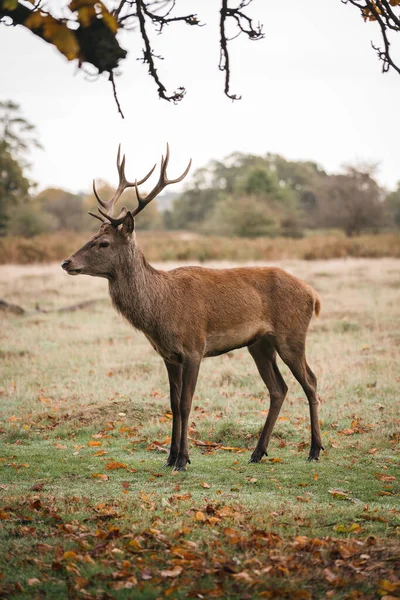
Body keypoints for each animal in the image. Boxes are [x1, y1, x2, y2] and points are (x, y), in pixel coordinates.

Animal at [61, 144, 324, 468]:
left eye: (104, 243)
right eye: (92, 236)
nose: (66, 262)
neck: (159, 313)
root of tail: (313, 295)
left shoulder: (194, 348)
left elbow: (186, 404)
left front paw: (183, 459)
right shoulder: (168, 355)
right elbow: (173, 404)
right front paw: (170, 457)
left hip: (291, 335)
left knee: (311, 382)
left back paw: (314, 450)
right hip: (260, 343)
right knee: (279, 388)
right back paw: (257, 452)